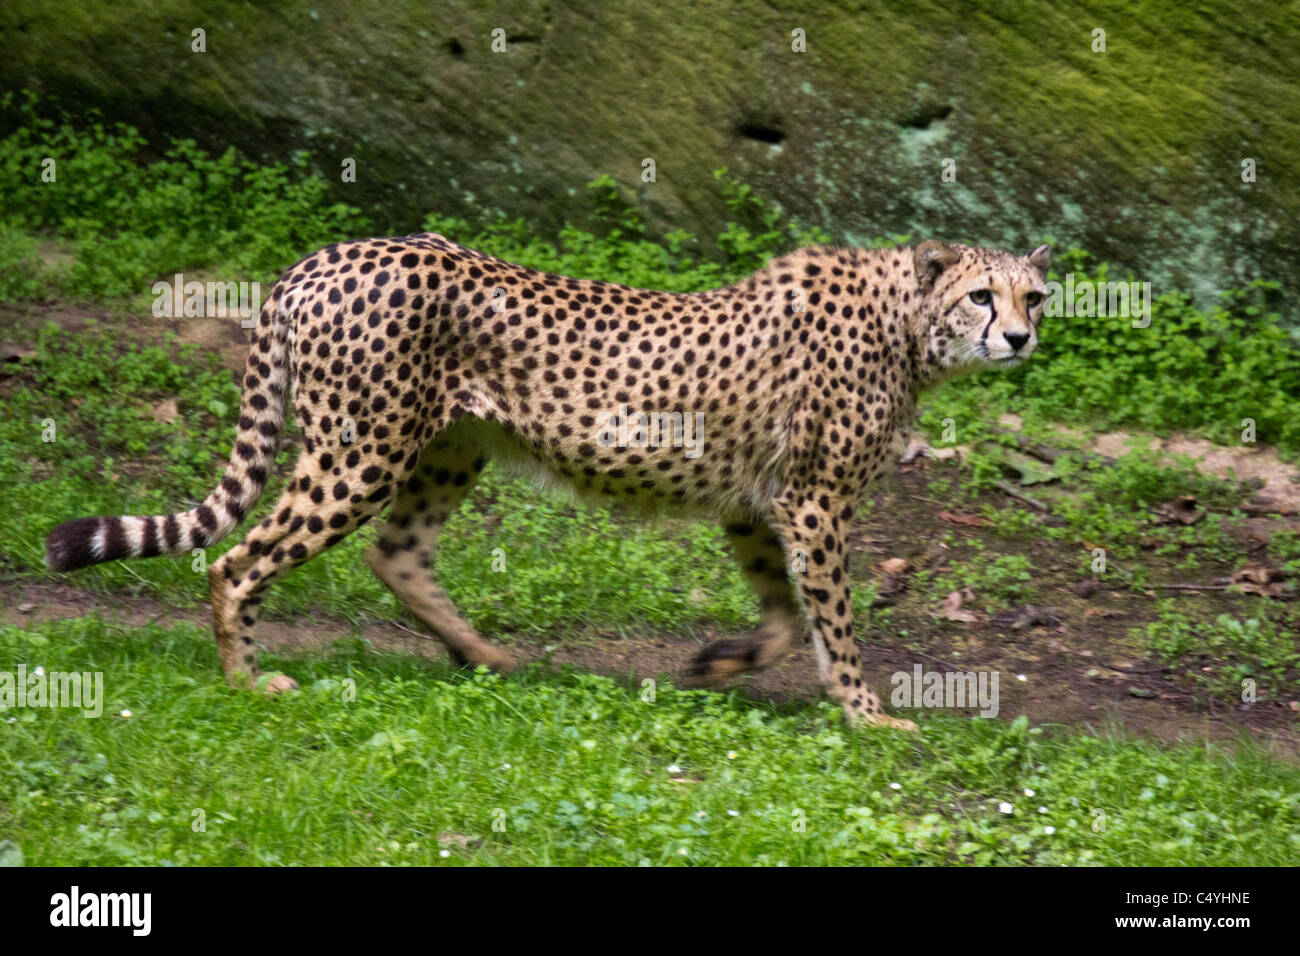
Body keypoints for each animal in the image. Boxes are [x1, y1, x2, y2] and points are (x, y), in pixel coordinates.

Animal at [45, 231, 1050, 723]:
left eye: (1032, 295)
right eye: (979, 295)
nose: (1020, 336)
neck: (907, 322)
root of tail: (323, 258)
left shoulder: (756, 501)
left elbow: (778, 611)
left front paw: (726, 661)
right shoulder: (815, 502)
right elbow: (833, 622)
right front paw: (869, 716)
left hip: (448, 447)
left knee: (395, 555)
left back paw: (488, 659)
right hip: (359, 453)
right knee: (236, 561)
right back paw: (248, 683)